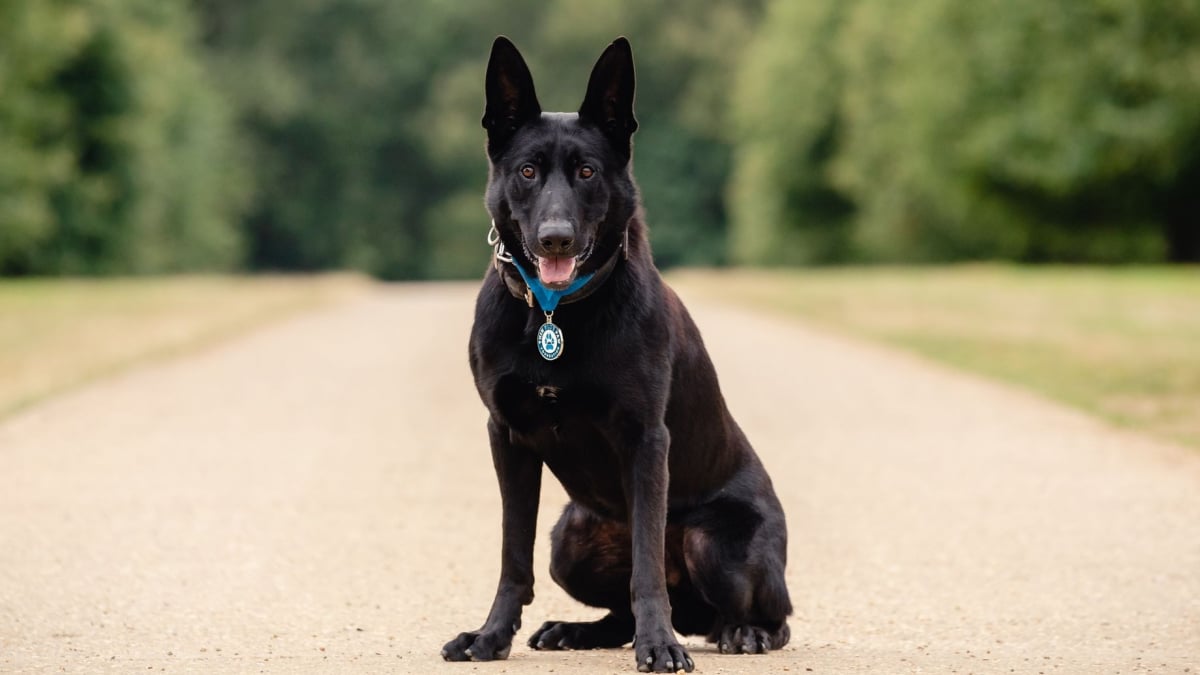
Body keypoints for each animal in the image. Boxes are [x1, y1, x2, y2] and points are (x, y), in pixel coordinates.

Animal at [439, 38, 787, 672]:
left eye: (587, 171)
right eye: (527, 171)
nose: (555, 238)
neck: (555, 314)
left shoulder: (645, 439)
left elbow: (645, 568)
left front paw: (660, 646)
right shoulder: (507, 438)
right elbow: (512, 557)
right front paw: (490, 637)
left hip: (714, 541)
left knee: (771, 613)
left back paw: (743, 632)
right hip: (569, 540)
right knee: (616, 611)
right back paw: (573, 631)